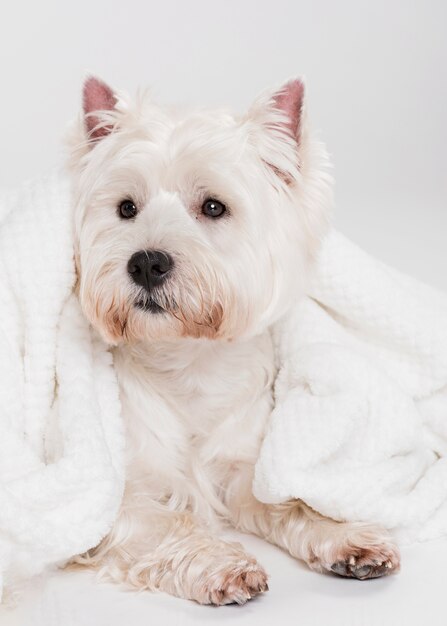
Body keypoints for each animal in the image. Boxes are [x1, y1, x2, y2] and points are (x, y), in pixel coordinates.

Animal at [70, 75, 402, 604]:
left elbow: (291, 500)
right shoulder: (112, 499)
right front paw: (222, 564)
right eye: (126, 208)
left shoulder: (244, 468)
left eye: (213, 207)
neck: (188, 363)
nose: (146, 262)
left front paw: (346, 535)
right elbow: (170, 523)